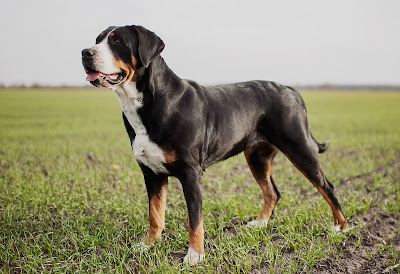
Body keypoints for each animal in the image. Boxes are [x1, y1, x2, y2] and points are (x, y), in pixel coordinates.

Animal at [80, 24, 346, 264]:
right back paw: (259, 224)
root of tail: (290, 90)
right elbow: (155, 215)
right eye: (98, 39)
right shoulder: (151, 173)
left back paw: (340, 227)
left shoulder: (191, 173)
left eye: (117, 41)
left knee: (327, 186)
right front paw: (147, 246)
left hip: (299, 148)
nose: (85, 52)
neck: (145, 104)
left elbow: (195, 220)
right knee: (273, 192)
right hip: (257, 157)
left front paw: (195, 255)